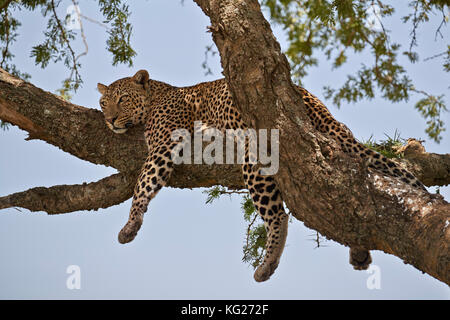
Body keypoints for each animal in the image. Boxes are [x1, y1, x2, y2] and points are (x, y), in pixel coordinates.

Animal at [96, 69, 424, 282]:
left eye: (123, 99)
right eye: (103, 102)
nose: (109, 119)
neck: (156, 94)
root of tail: (307, 100)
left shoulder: (164, 144)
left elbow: (144, 182)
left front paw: (130, 225)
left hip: (254, 158)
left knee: (279, 216)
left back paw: (267, 265)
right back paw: (358, 250)